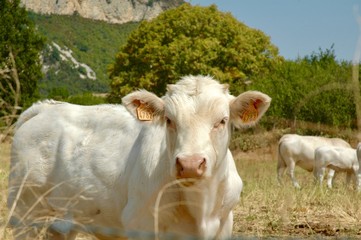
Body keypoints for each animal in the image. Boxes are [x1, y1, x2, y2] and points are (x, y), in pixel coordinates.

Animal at [7, 74, 270, 239]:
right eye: (169, 120)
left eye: (222, 121)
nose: (190, 164)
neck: (201, 208)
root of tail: (47, 108)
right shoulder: (140, 224)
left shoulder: (225, 224)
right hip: (24, 214)